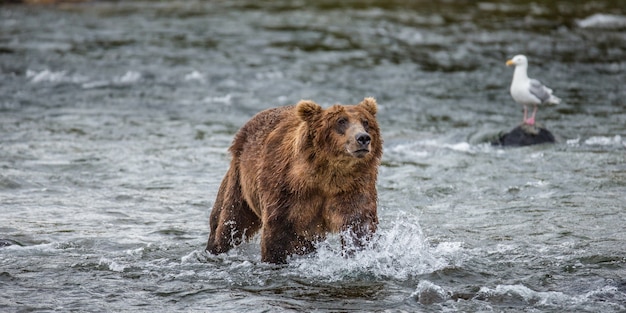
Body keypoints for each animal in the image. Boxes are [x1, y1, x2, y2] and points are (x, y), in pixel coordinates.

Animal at [205, 97, 380, 264]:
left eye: (366, 122)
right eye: (341, 121)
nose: (363, 138)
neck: (325, 177)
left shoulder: (351, 189)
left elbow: (358, 225)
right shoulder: (287, 193)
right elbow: (277, 235)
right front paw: (275, 258)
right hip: (241, 181)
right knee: (230, 220)